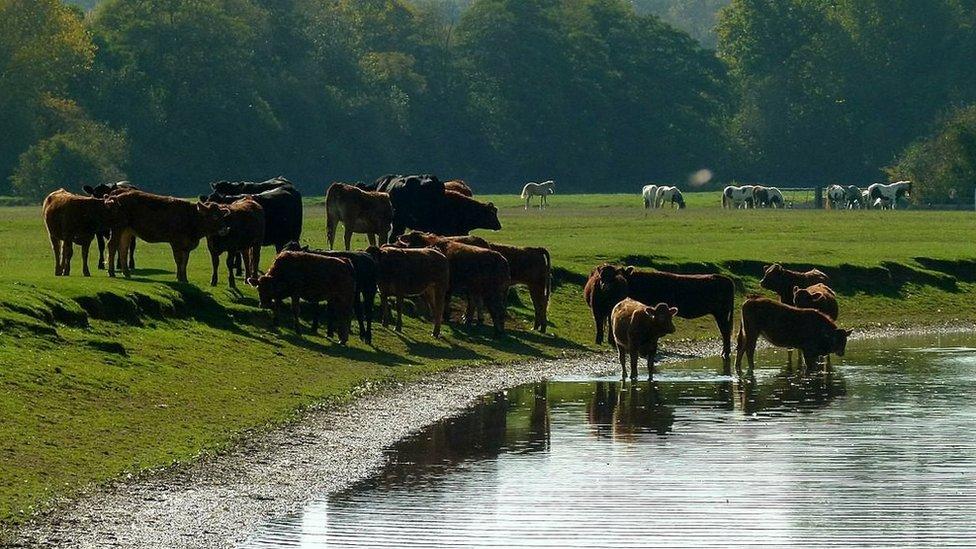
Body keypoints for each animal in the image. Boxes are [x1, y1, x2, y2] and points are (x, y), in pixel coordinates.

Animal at [394, 230, 548, 332]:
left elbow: (447, 301)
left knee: (537, 305)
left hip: (534, 287)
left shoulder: (449, 286)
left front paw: (447, 316)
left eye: (410, 241)